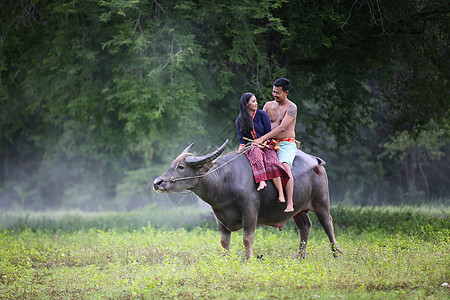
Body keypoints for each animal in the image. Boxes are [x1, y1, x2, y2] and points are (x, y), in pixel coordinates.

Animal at [155, 139, 342, 258]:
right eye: (172, 165)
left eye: (181, 167)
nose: (158, 182)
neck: (224, 180)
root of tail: (316, 161)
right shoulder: (219, 217)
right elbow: (224, 241)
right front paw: (226, 259)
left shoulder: (250, 211)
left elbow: (247, 237)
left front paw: (248, 259)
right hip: (298, 209)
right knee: (305, 227)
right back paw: (300, 257)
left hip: (321, 202)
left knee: (328, 224)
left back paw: (336, 254)